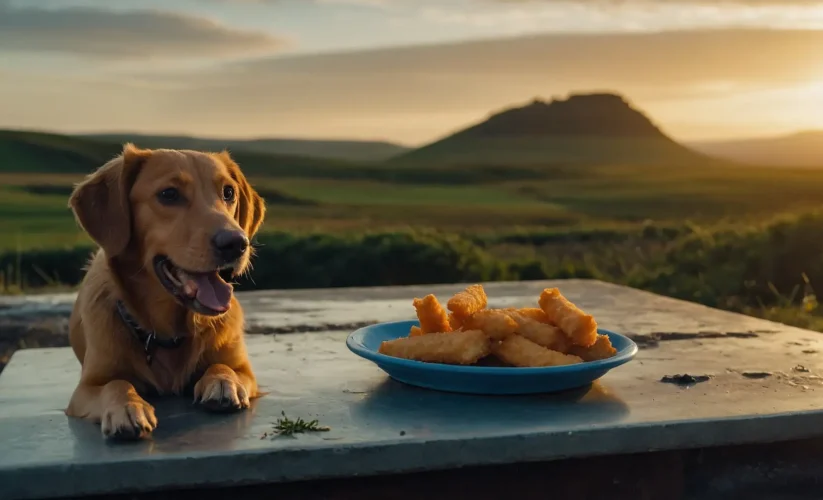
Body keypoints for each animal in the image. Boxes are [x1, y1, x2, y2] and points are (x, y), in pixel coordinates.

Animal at [66, 143, 268, 440]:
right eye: (169, 194)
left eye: (228, 193)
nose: (236, 243)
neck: (168, 332)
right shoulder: (86, 388)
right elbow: (116, 384)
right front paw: (127, 408)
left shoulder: (245, 370)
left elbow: (224, 366)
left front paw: (222, 382)